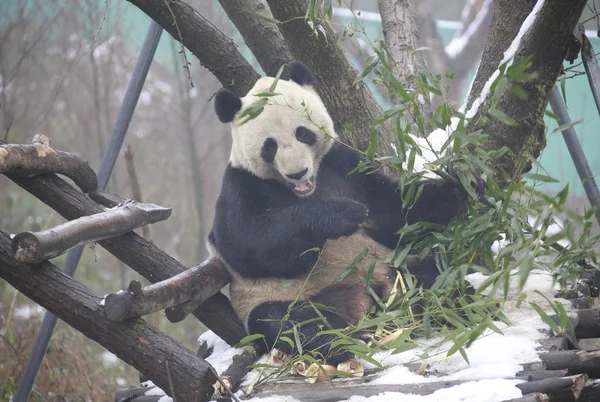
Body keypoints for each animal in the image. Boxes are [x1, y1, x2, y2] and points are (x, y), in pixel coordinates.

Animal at [209, 61, 466, 366]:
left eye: (303, 133)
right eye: (269, 145)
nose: (297, 172)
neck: (303, 191)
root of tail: (365, 304)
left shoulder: (342, 166)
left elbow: (395, 208)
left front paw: (461, 186)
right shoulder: (241, 187)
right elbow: (251, 244)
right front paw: (343, 214)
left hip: (394, 268)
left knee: (434, 274)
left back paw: (458, 305)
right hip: (284, 297)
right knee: (288, 322)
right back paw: (345, 343)